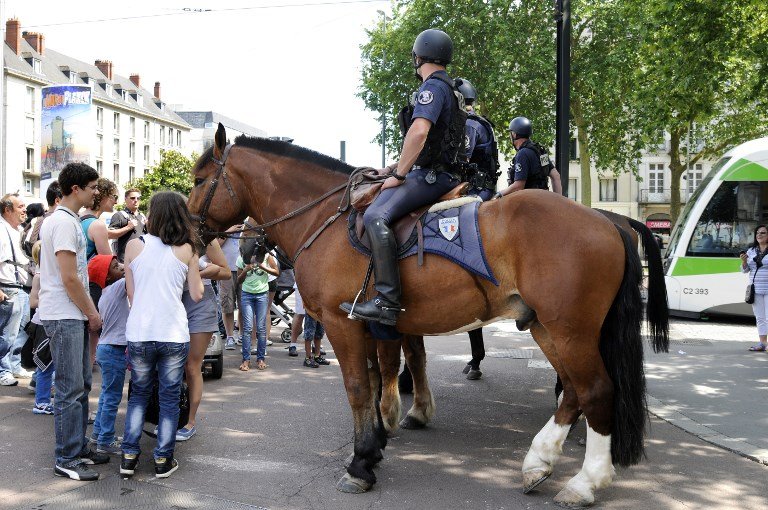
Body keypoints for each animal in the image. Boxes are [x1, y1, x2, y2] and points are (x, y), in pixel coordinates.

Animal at [189, 125, 668, 508]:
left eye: (198, 179)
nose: (190, 233)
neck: (324, 218)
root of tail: (608, 223)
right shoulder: (374, 326)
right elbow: (383, 373)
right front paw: (380, 439)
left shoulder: (344, 323)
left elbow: (360, 385)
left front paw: (362, 462)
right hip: (545, 327)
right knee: (572, 390)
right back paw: (539, 461)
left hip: (571, 330)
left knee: (596, 390)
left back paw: (585, 482)